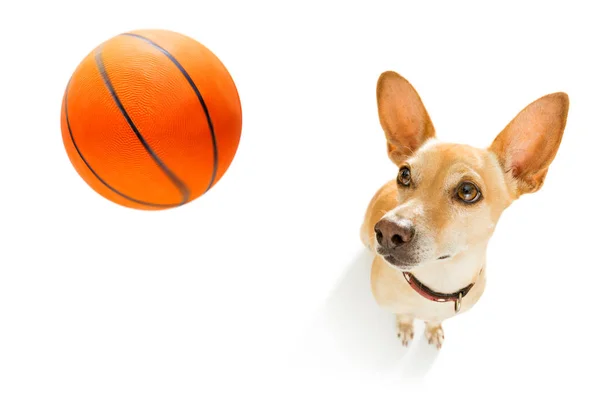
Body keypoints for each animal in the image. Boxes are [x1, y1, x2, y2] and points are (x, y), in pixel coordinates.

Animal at [358, 70, 568, 348]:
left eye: (467, 191)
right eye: (404, 174)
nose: (389, 230)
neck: (438, 283)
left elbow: (434, 320)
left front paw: (433, 328)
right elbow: (403, 314)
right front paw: (405, 325)